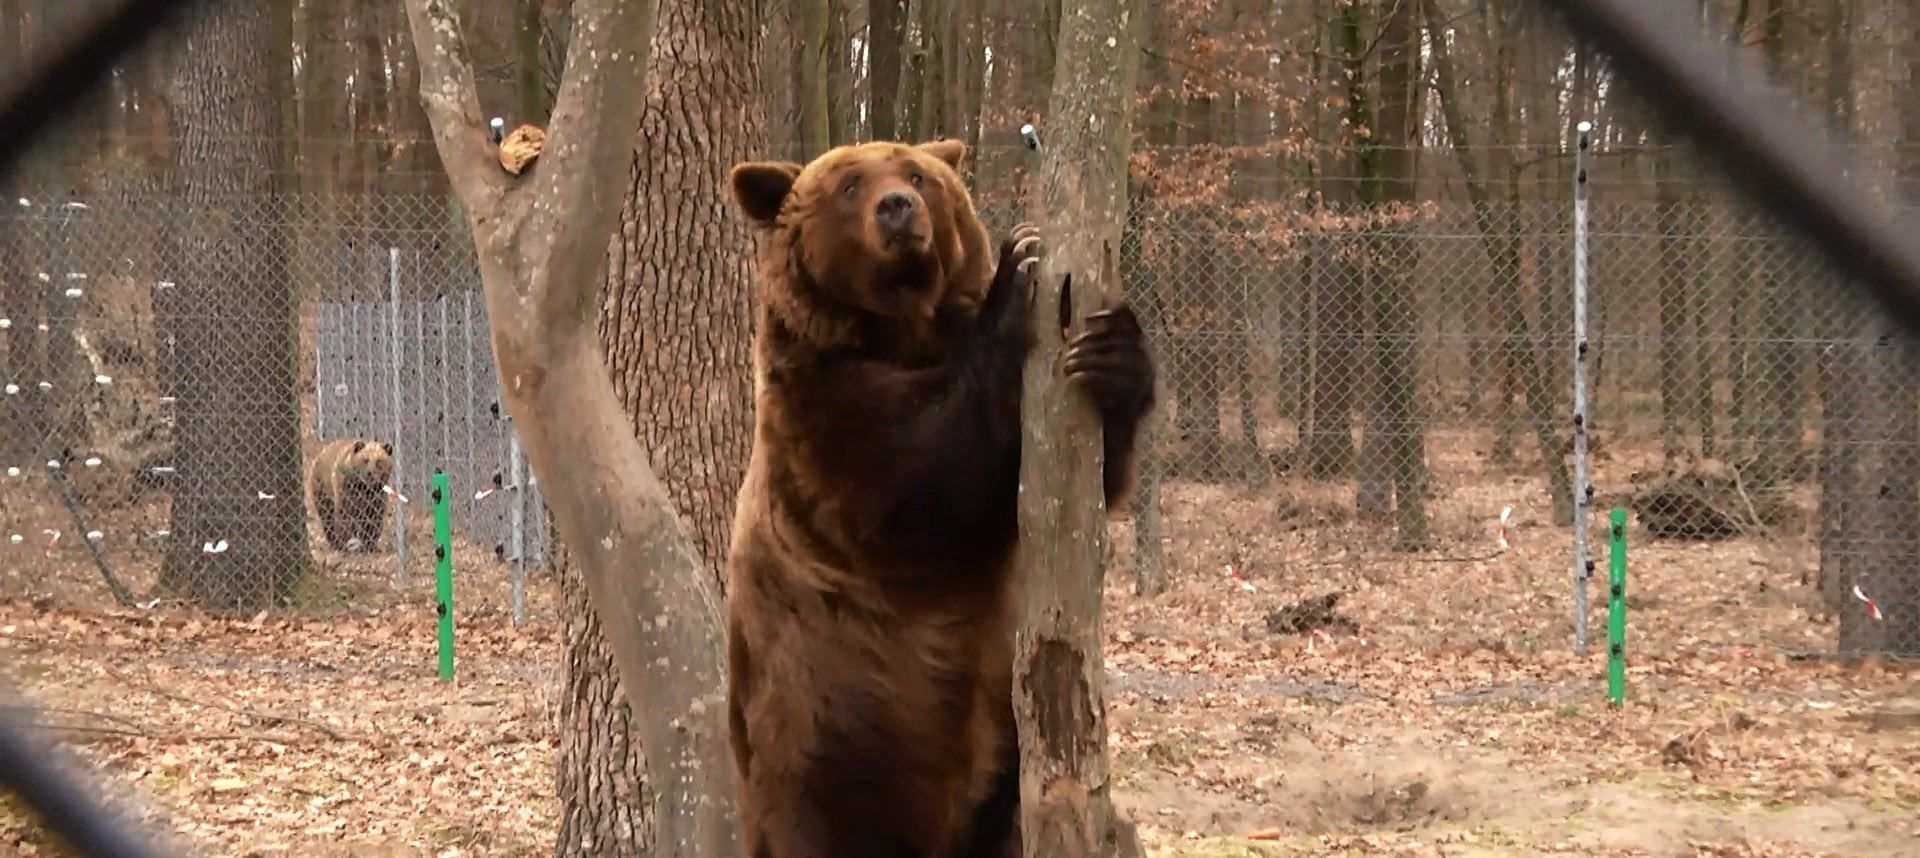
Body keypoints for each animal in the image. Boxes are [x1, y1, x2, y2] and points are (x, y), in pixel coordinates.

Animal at [721, 138, 1152, 856]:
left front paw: (1112, 349)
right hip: (821, 741)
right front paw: (1018, 267)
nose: (897, 207)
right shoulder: (822, 414)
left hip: (1000, 760)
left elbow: (1091, 471)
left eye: (918, 174)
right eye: (849, 186)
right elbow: (921, 479)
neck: (904, 332)